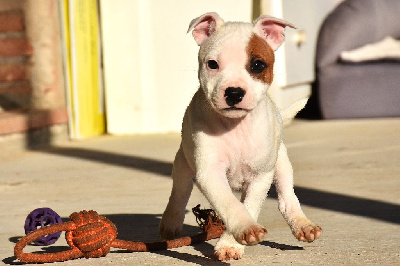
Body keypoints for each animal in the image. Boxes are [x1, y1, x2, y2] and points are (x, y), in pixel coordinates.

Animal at [159, 11, 322, 260]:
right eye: (212, 64)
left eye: (257, 65)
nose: (234, 92)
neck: (235, 126)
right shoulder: (210, 172)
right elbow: (229, 203)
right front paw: (243, 230)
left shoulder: (260, 176)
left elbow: (249, 206)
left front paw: (231, 243)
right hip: (183, 162)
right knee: (179, 192)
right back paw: (170, 222)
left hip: (281, 163)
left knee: (287, 198)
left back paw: (302, 224)